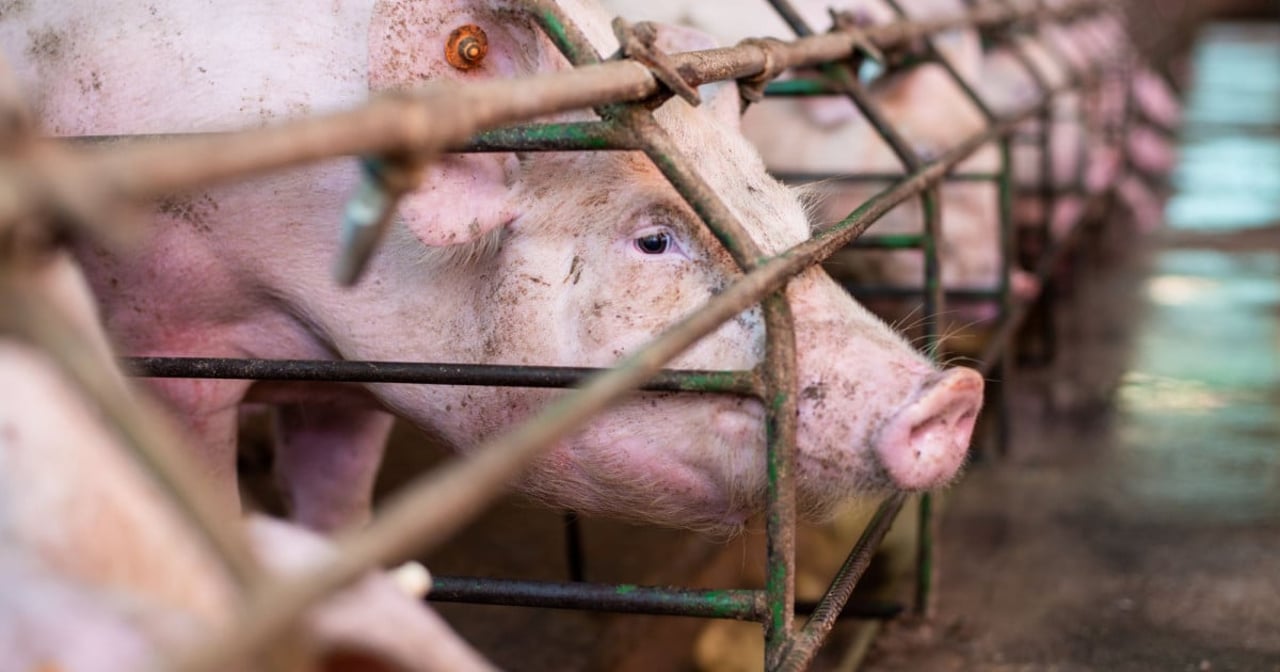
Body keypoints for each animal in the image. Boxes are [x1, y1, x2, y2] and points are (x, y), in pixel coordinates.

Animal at [0, 0, 977, 535]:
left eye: (784, 211)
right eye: (653, 239)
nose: (954, 394)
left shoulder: (351, 385)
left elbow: (339, 507)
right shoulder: (168, 334)